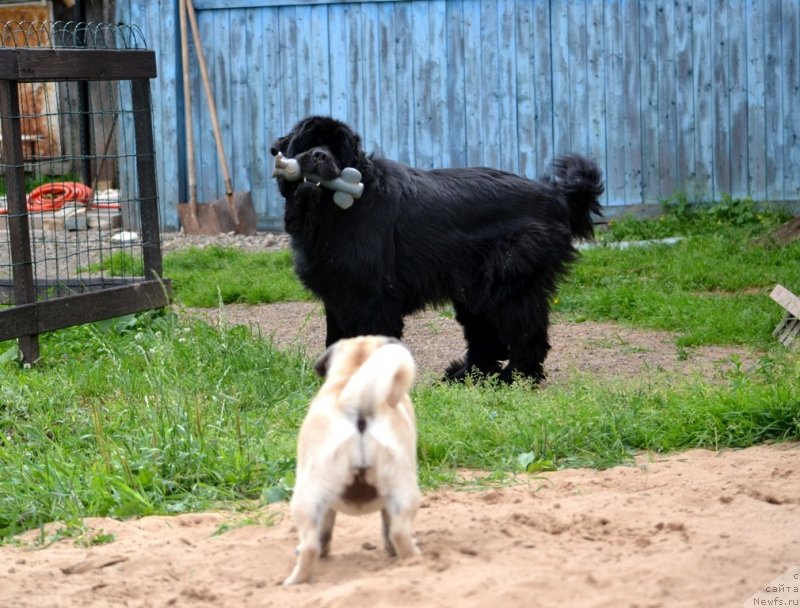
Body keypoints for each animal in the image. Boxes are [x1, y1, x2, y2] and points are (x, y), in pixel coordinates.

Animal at [268, 116, 600, 382]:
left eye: (338, 149)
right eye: (309, 143)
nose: (319, 155)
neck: (333, 212)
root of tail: (554, 194)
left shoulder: (371, 297)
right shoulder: (339, 293)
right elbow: (335, 338)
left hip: (510, 284)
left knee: (526, 332)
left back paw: (515, 378)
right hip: (475, 289)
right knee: (485, 336)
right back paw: (467, 376)